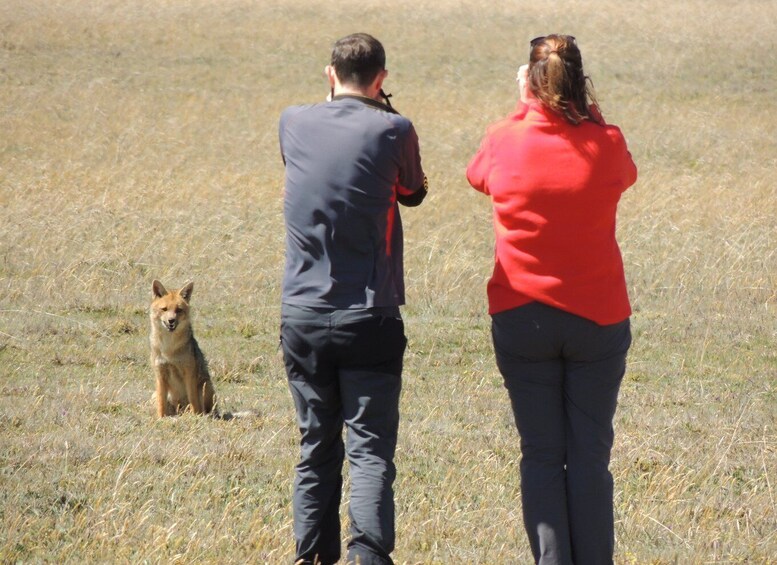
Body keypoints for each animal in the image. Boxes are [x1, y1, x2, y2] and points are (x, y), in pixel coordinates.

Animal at [149, 278, 217, 416]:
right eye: (164, 309)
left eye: (178, 310)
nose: (171, 321)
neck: (169, 349)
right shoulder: (160, 373)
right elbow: (161, 404)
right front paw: (160, 418)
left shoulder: (188, 372)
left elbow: (193, 401)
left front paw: (195, 417)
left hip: (205, 386)